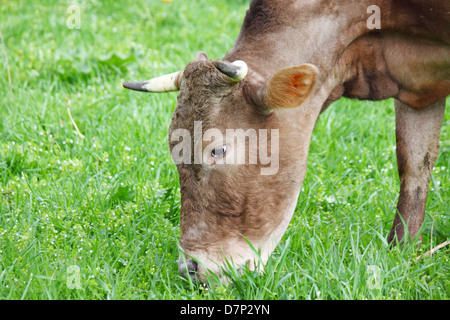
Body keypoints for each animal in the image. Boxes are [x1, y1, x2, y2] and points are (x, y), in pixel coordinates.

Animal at [123, 0, 450, 282]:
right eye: (174, 151)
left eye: (218, 149)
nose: (190, 269)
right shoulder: (418, 93)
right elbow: (414, 166)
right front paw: (403, 252)